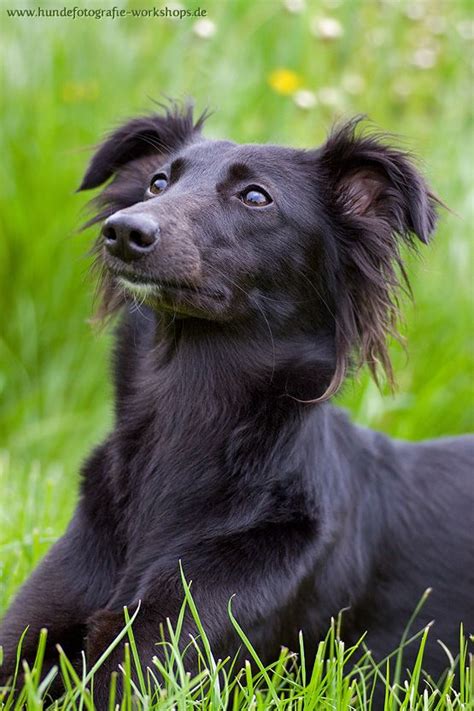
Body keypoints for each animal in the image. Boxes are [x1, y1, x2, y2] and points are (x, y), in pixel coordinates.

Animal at [0, 104, 474, 708]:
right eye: (158, 182)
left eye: (255, 197)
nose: (124, 230)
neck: (185, 420)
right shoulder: (27, 641)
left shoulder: (165, 657)